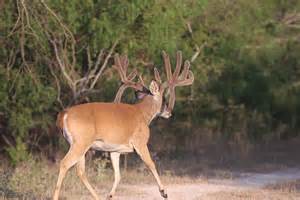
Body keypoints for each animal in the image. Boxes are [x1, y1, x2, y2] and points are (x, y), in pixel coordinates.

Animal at [53, 51, 195, 200]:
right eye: (164, 99)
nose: (169, 112)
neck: (142, 114)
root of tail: (63, 114)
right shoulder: (140, 142)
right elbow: (151, 164)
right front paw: (164, 192)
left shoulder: (114, 150)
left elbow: (118, 175)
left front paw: (110, 195)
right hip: (81, 142)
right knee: (65, 163)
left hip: (79, 144)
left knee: (80, 171)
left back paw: (98, 197)